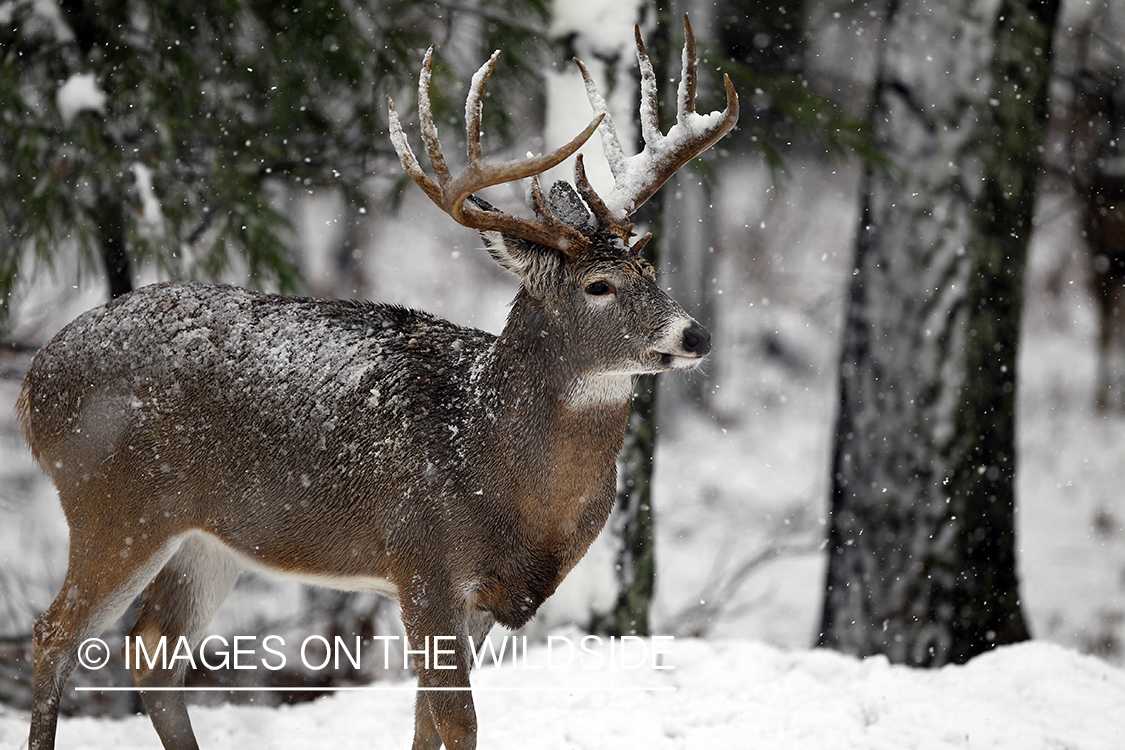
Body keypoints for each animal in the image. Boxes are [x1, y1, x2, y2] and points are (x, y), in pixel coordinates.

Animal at [17, 17, 738, 750]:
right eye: (598, 286)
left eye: (649, 267)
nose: (695, 336)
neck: (492, 458)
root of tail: (34, 380)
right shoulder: (421, 556)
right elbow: (455, 720)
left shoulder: (479, 594)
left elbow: (426, 719)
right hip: (111, 501)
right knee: (54, 636)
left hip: (207, 537)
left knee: (153, 646)